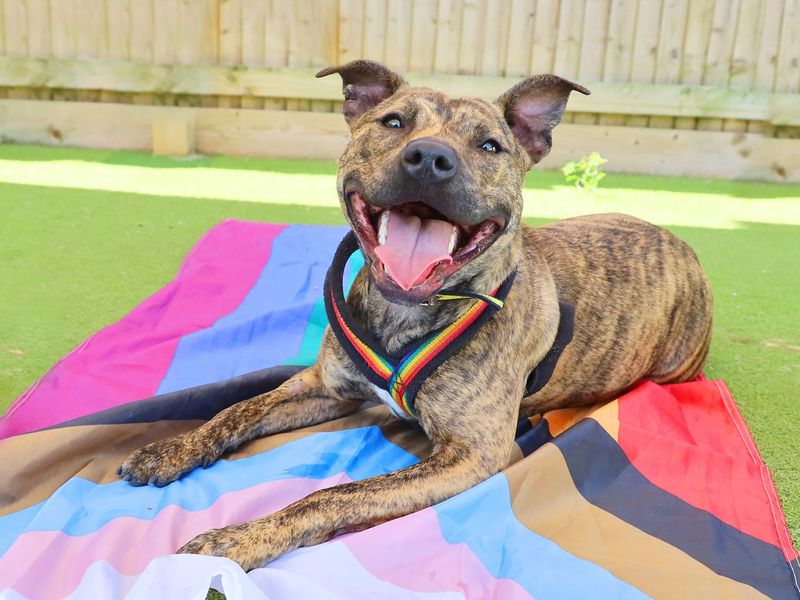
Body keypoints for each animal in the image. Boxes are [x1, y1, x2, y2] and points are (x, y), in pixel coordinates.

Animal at [117, 62, 712, 572]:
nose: (429, 158)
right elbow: (236, 409)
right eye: (394, 122)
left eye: (489, 145)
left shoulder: (470, 455)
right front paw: (171, 449)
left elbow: (332, 495)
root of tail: (681, 244)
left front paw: (235, 539)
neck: (403, 312)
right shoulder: (325, 387)